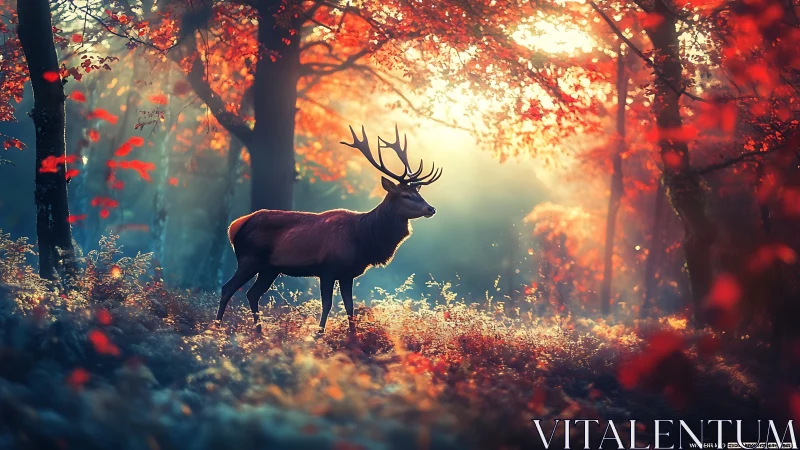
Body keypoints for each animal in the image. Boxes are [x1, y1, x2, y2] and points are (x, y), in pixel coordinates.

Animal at [215, 124, 443, 334]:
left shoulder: (347, 273)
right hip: (249, 258)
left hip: (269, 268)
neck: (364, 239)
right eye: (405, 195)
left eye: (418, 193)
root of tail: (235, 226)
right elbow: (328, 304)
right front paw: (319, 335)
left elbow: (350, 307)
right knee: (227, 288)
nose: (431, 208)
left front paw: (352, 337)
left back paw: (260, 333)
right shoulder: (327, 268)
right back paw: (217, 329)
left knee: (252, 293)